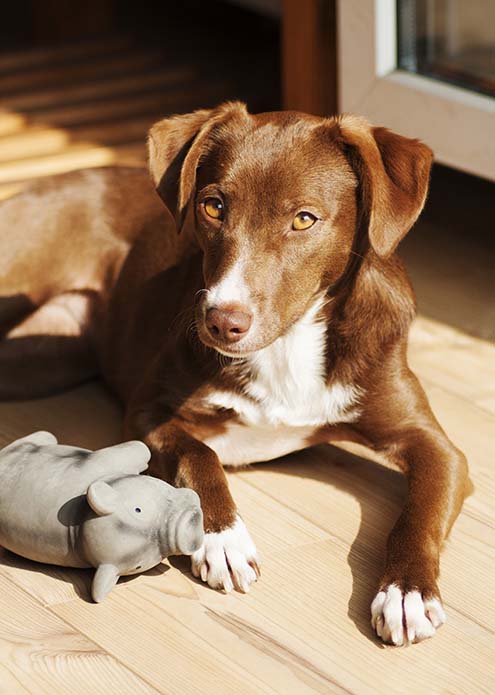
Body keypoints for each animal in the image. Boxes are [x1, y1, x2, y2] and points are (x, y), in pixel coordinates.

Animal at [0, 103, 468, 648]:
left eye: (304, 219)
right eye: (213, 207)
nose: (222, 322)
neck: (288, 345)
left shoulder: (434, 445)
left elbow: (420, 513)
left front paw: (407, 592)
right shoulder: (149, 411)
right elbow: (199, 455)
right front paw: (222, 538)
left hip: (43, 360)